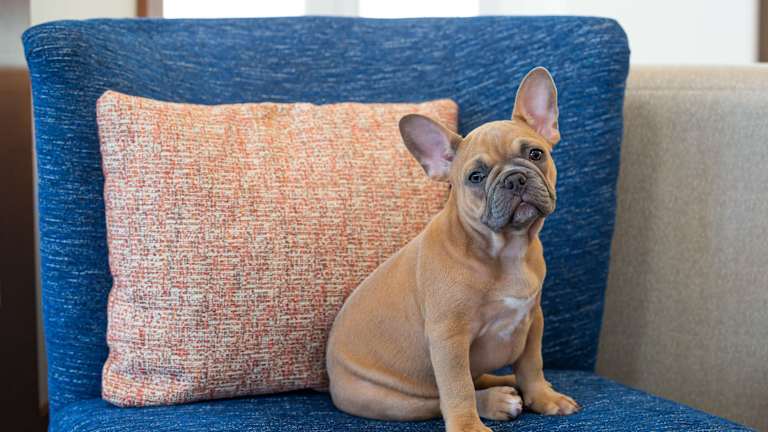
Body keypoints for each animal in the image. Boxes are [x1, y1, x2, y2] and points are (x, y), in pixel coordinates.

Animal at [326, 67, 578, 432]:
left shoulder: (533, 319)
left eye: (535, 154)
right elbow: (457, 389)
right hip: (390, 399)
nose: (514, 179)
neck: (504, 249)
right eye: (476, 176)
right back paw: (496, 400)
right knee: (439, 399)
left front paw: (544, 397)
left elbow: (532, 364)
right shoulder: (449, 338)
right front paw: (469, 427)